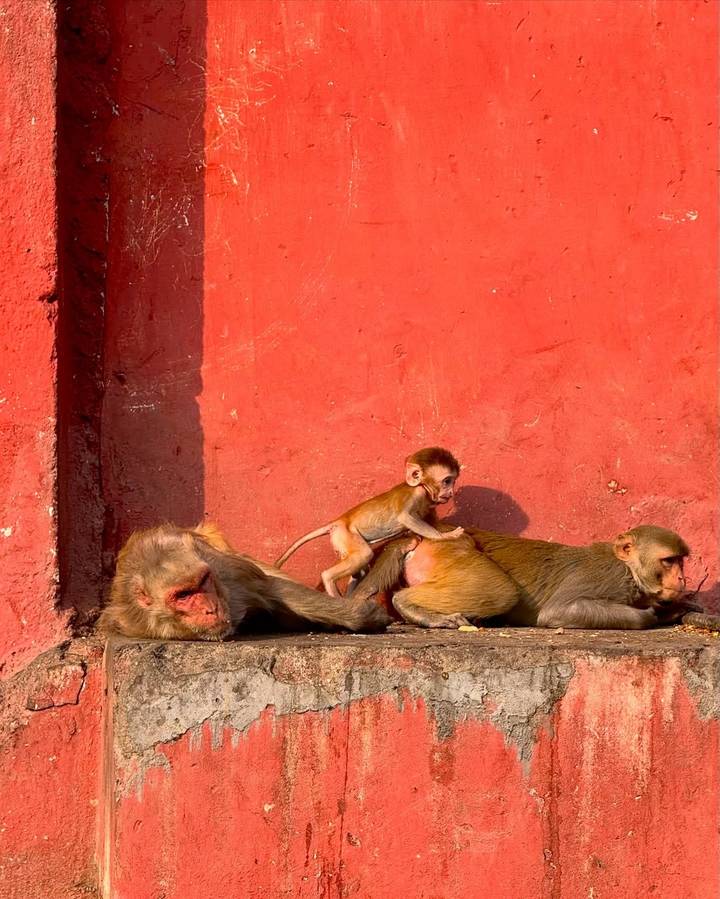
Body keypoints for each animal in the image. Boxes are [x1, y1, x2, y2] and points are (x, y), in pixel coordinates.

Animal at [98, 523, 391, 641]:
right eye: (183, 595)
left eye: (203, 581)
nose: (211, 609)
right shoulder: (132, 621)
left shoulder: (225, 571)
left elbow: (271, 588)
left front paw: (359, 615)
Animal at [275, 447, 465, 598]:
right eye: (447, 481)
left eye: (452, 481)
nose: (451, 492)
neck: (423, 489)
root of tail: (338, 521)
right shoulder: (416, 494)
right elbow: (406, 517)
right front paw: (445, 536)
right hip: (345, 535)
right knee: (363, 555)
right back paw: (330, 582)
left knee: (360, 568)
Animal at [352, 525, 700, 630]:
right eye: (669, 561)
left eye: (681, 562)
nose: (682, 580)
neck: (630, 570)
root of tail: (422, 534)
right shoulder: (608, 578)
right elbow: (558, 611)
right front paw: (655, 615)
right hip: (454, 551)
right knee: (501, 591)